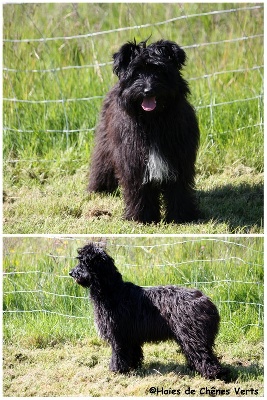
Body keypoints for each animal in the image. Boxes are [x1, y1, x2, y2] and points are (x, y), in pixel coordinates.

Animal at [70, 242, 225, 380]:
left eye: (83, 262)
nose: (71, 273)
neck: (113, 291)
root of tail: (207, 301)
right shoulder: (131, 337)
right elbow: (133, 353)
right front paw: (132, 367)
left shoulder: (118, 335)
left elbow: (118, 355)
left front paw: (116, 370)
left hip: (193, 336)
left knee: (205, 356)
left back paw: (213, 374)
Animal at [89, 39, 200, 223]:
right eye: (136, 73)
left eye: (159, 70)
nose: (148, 90)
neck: (152, 120)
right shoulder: (134, 161)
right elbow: (139, 190)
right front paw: (141, 217)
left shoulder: (179, 158)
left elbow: (179, 188)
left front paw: (181, 215)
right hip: (105, 144)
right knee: (101, 163)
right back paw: (99, 189)